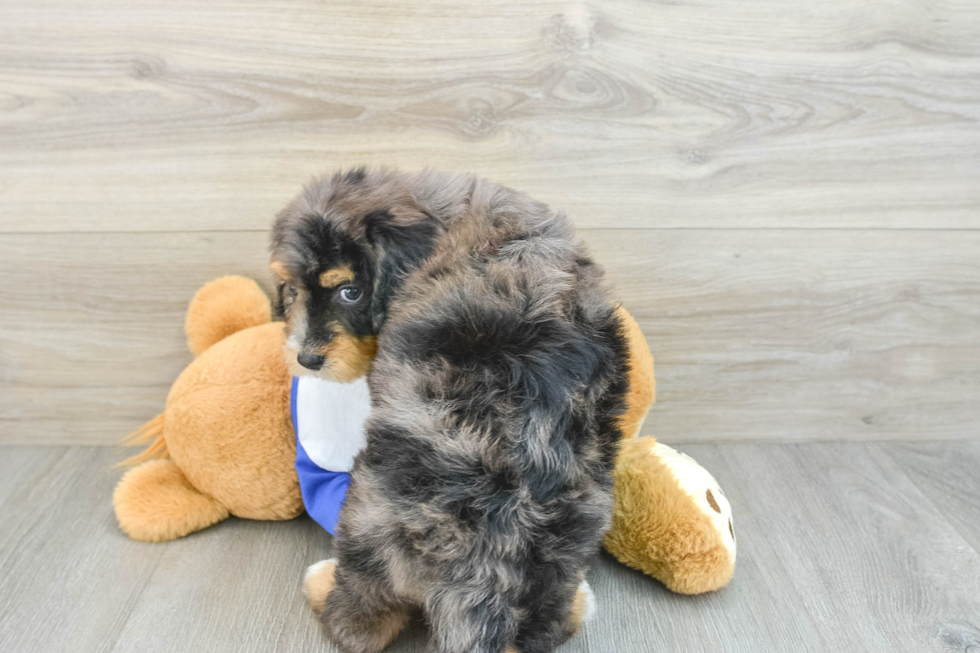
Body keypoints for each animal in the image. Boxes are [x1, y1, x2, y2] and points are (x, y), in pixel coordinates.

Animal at [268, 169, 628, 652]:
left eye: (350, 292)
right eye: (290, 291)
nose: (306, 360)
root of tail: (486, 561)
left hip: (366, 512)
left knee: (363, 618)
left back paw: (324, 585)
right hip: (576, 530)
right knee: (542, 626)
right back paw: (577, 605)